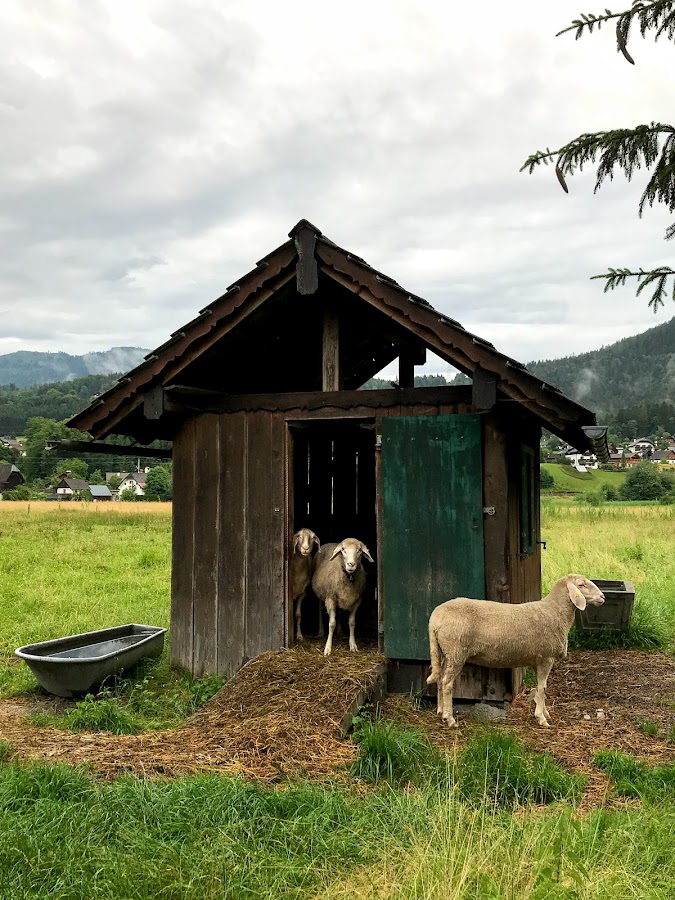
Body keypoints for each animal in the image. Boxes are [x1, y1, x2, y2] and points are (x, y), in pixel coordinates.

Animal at [426, 572, 604, 728]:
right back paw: (450, 719)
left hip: (445, 652)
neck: (554, 612)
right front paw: (541, 718)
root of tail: (435, 617)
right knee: (447, 683)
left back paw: (441, 711)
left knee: (440, 679)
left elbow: (541, 688)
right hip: (456, 652)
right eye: (581, 585)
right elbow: (542, 688)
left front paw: (545, 712)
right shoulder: (546, 657)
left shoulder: (537, 660)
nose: (602, 597)